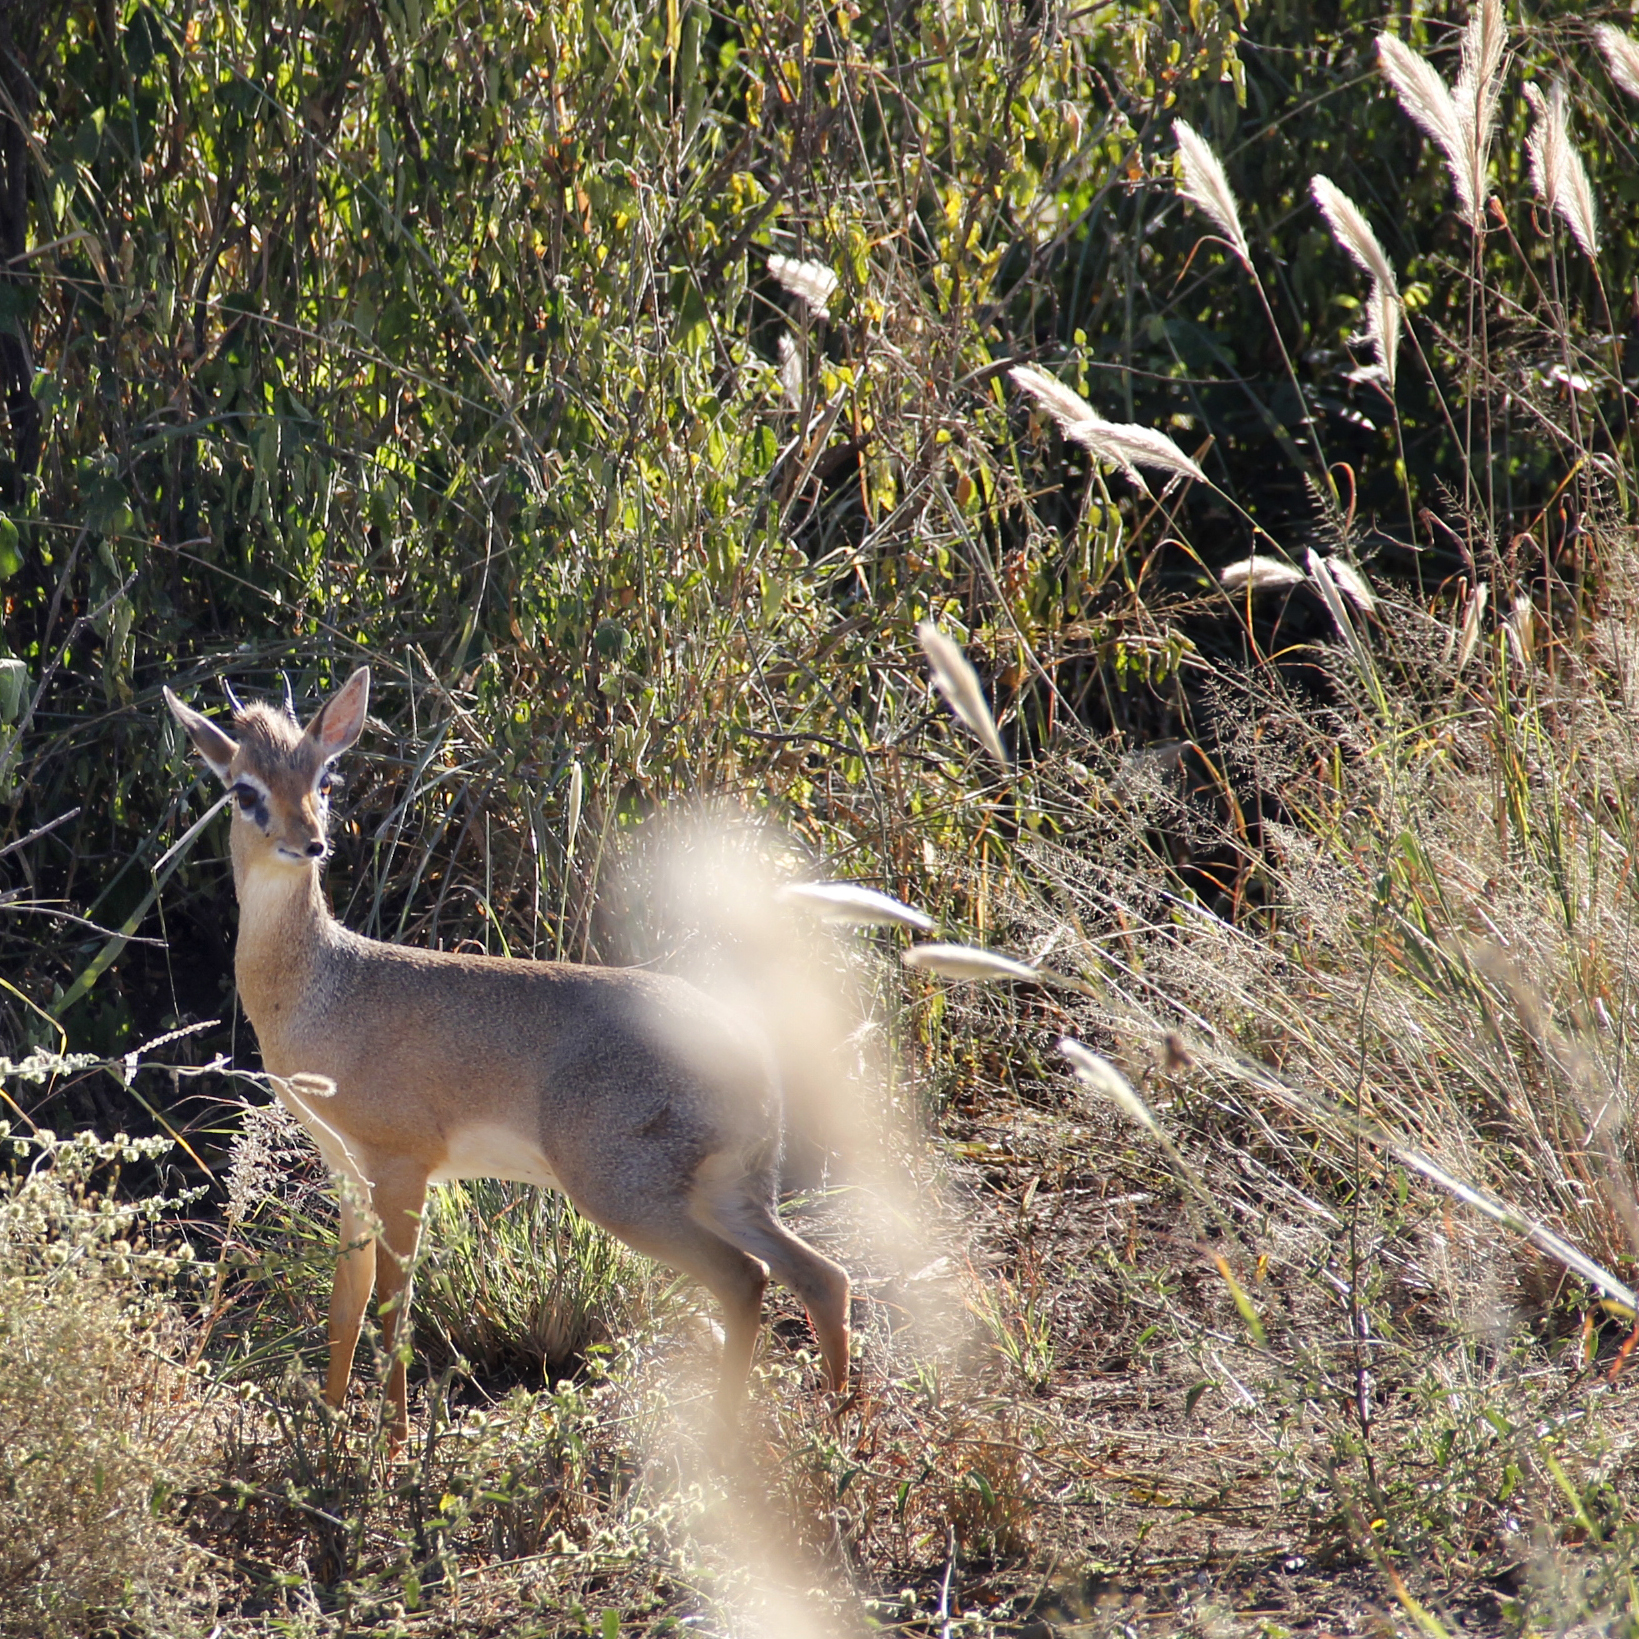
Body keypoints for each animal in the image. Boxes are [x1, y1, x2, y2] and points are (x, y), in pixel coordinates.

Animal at [166, 662, 852, 1435]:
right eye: (244, 789)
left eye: (325, 780)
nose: (309, 842)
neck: (325, 989)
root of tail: (753, 1054)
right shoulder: (348, 1171)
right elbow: (346, 1305)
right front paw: (329, 1427)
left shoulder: (402, 1165)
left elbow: (395, 1309)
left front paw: (390, 1445)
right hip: (725, 1189)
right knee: (821, 1275)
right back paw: (838, 1427)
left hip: (625, 1189)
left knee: (745, 1278)